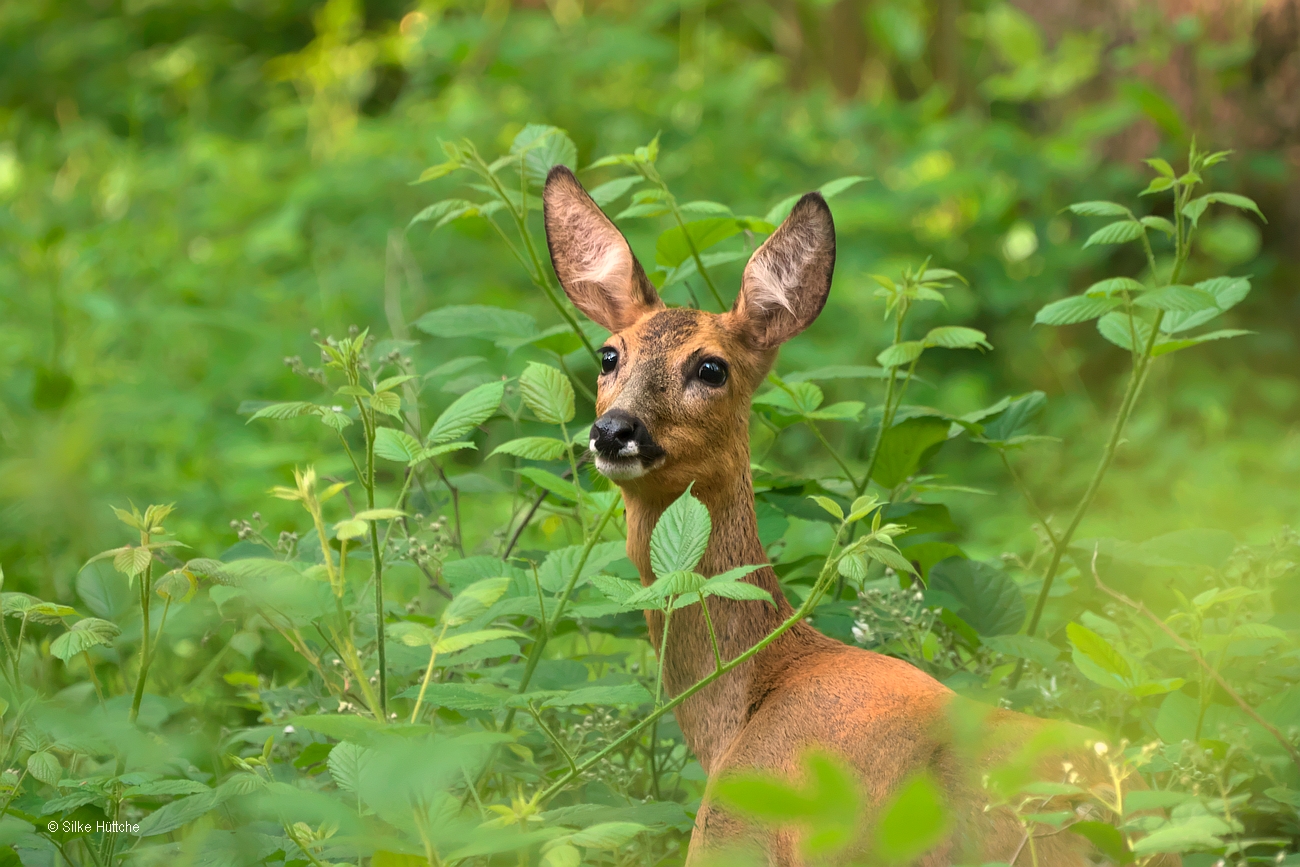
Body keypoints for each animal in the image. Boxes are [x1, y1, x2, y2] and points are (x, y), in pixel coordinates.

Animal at [538, 166, 1170, 863]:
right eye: (608, 355)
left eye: (711, 367)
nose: (613, 431)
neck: (743, 705)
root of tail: (1100, 818)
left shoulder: (732, 835)